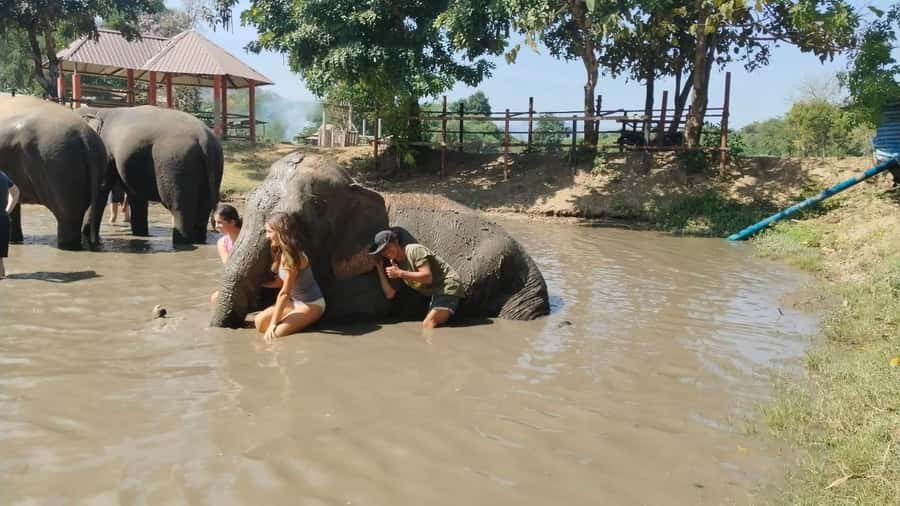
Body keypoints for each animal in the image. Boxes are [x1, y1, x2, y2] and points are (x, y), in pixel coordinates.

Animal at [79, 105, 223, 244]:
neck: (97, 110)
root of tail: (204, 139)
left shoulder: (105, 153)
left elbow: (101, 188)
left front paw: (85, 235)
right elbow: (136, 197)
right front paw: (141, 235)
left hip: (175, 163)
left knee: (179, 208)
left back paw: (182, 243)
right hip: (212, 166)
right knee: (204, 206)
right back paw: (199, 240)